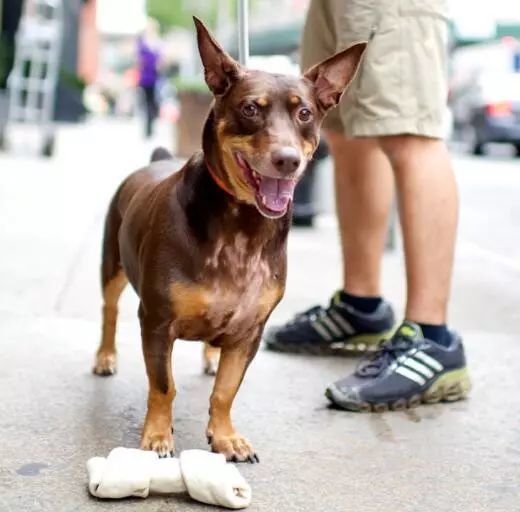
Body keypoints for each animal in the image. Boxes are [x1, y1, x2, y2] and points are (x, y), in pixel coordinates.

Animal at [93, 18, 366, 462]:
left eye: (305, 113)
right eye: (250, 108)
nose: (288, 160)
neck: (243, 227)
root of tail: (157, 159)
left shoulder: (248, 333)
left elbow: (225, 391)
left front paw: (225, 437)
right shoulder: (156, 322)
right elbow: (163, 386)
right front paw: (157, 436)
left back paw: (209, 356)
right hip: (112, 268)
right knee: (110, 311)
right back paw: (105, 356)